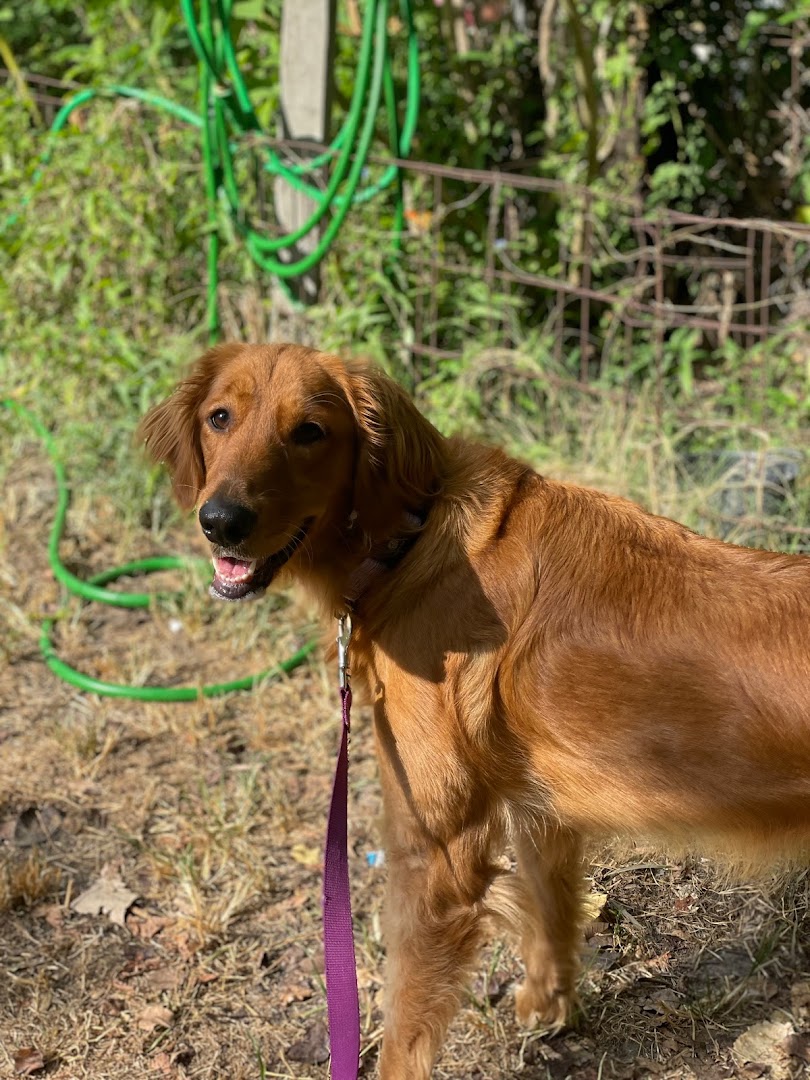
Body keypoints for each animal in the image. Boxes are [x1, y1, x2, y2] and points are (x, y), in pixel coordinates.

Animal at [142, 341, 810, 1075]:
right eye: (220, 417)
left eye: (310, 432)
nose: (220, 521)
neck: (409, 538)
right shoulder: (539, 808)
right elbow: (551, 913)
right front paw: (550, 1009)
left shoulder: (436, 855)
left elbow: (403, 1027)